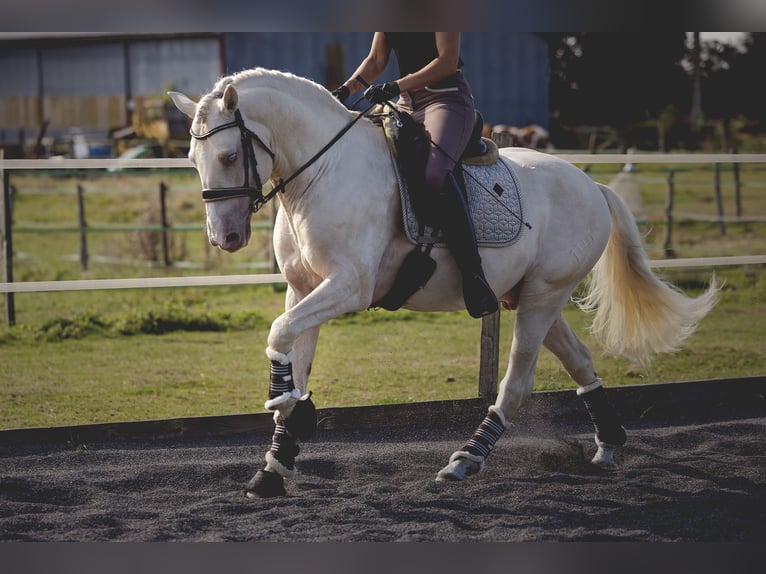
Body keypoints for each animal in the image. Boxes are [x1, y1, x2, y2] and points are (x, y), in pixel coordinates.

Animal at [168, 68, 720, 500]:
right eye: (193, 160)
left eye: (228, 157)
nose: (225, 238)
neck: (321, 173)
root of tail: (591, 184)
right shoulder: (303, 290)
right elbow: (292, 352)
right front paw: (277, 460)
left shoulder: (349, 286)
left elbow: (279, 333)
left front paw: (286, 412)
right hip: (535, 295)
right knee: (580, 360)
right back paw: (608, 445)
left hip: (543, 296)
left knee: (517, 384)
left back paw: (466, 459)